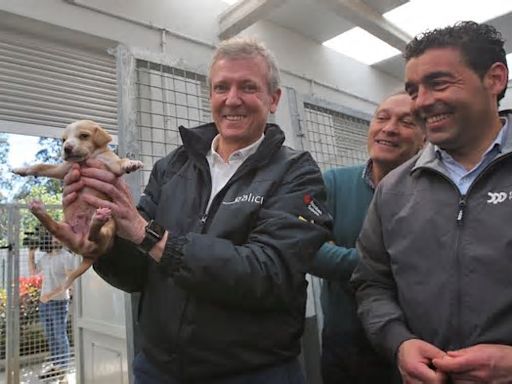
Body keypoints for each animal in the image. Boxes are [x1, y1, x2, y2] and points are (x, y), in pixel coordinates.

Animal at [14, 120, 142, 300]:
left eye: (84, 136)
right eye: (63, 140)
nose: (66, 148)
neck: (88, 158)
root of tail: (88, 253)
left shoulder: (111, 164)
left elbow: (120, 162)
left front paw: (131, 163)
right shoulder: (63, 169)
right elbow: (41, 166)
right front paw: (20, 169)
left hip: (110, 225)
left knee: (96, 235)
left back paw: (97, 219)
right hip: (64, 230)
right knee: (55, 227)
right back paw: (38, 209)